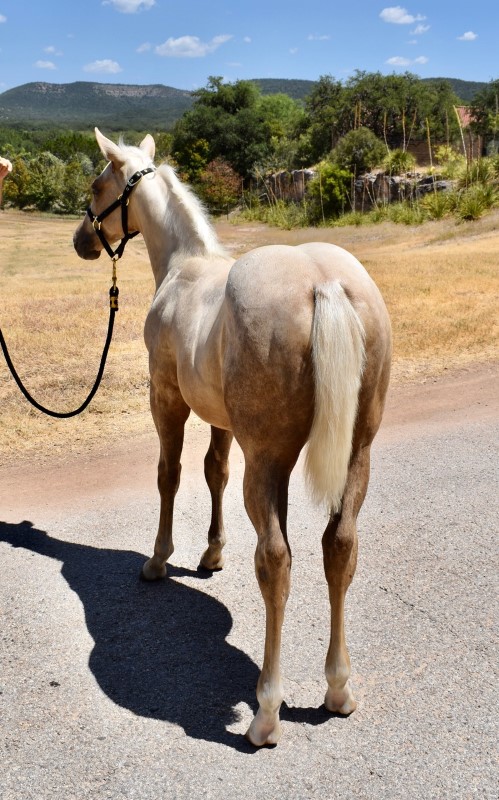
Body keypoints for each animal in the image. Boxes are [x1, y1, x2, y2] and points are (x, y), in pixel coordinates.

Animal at [74, 128, 394, 748]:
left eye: (98, 185)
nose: (82, 241)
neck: (185, 267)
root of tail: (323, 282)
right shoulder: (220, 420)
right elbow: (213, 472)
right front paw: (212, 553)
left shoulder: (167, 400)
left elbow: (170, 475)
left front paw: (159, 559)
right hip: (356, 456)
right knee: (339, 547)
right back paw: (338, 689)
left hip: (266, 462)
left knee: (275, 561)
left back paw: (266, 712)